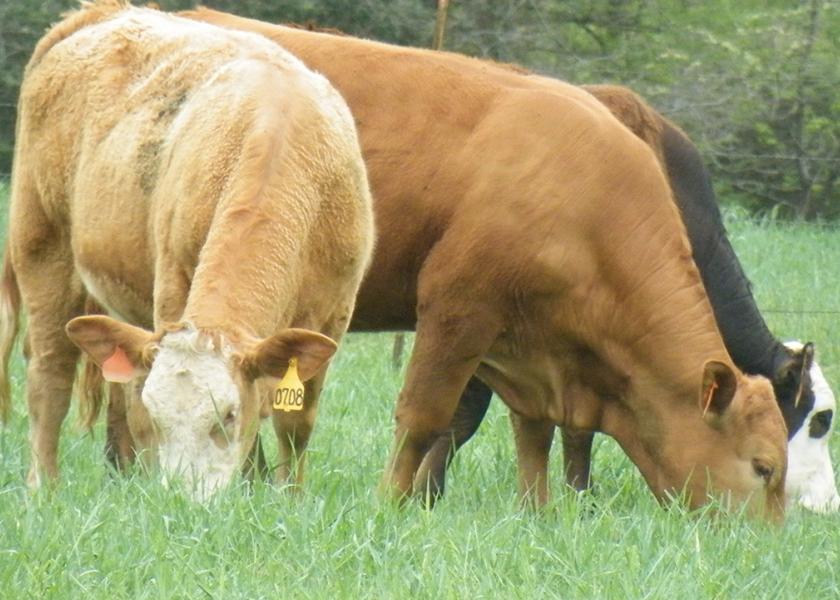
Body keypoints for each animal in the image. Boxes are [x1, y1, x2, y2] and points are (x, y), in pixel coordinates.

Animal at [0, 2, 374, 500]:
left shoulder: (335, 312)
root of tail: (101, 14)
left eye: (229, 415)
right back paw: (46, 485)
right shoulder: (173, 287)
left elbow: (295, 423)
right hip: (42, 246)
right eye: (163, 416)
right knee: (50, 375)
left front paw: (287, 496)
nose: (185, 502)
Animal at [176, 7, 788, 516]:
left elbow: (534, 432)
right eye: (764, 467)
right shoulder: (458, 308)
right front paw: (396, 502)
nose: (768, 543)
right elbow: (428, 417)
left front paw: (539, 514)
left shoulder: (528, 349)